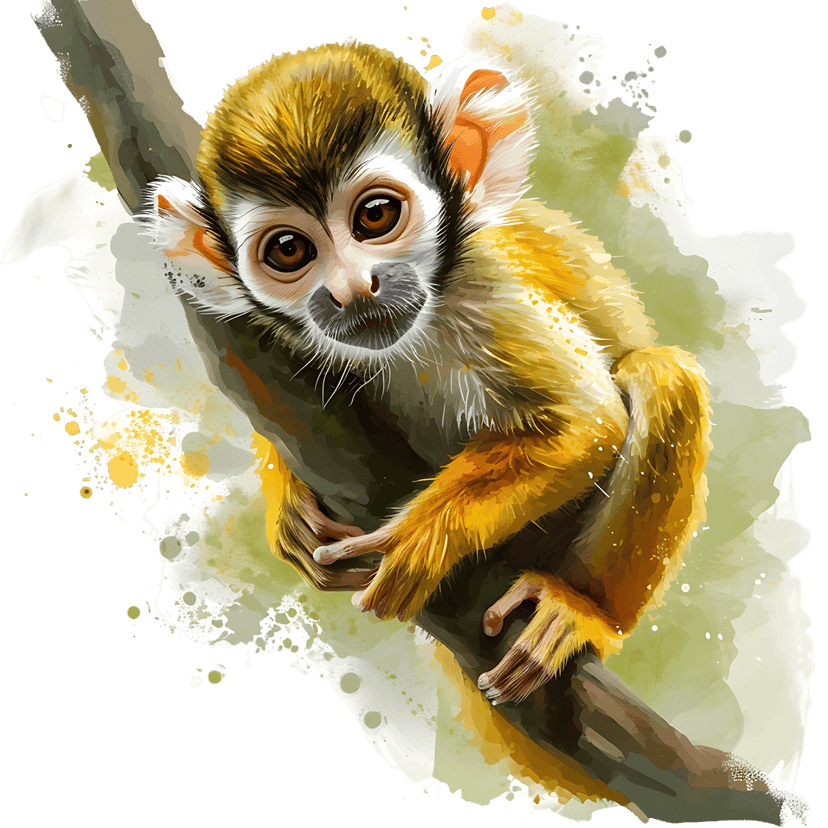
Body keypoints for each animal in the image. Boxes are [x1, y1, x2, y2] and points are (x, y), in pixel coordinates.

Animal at [144, 41, 711, 705]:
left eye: (376, 216)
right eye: (288, 250)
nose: (352, 289)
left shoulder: (486, 285)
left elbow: (586, 421)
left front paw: (421, 536)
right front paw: (284, 488)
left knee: (662, 376)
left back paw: (583, 609)